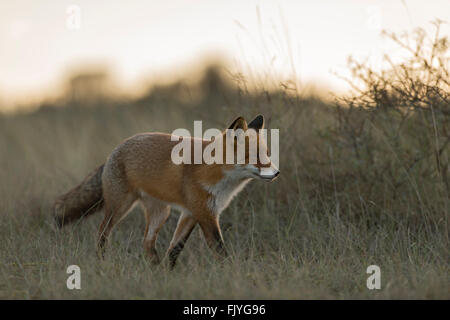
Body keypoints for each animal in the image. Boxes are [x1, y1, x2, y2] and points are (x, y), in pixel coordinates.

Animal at [54, 115, 280, 268]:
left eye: (268, 154)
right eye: (256, 157)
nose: (277, 173)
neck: (216, 173)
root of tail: (115, 149)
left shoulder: (191, 213)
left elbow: (175, 248)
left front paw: (167, 272)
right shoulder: (205, 214)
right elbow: (220, 250)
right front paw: (232, 271)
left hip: (161, 213)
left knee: (146, 243)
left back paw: (154, 269)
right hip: (119, 208)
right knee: (102, 234)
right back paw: (103, 263)